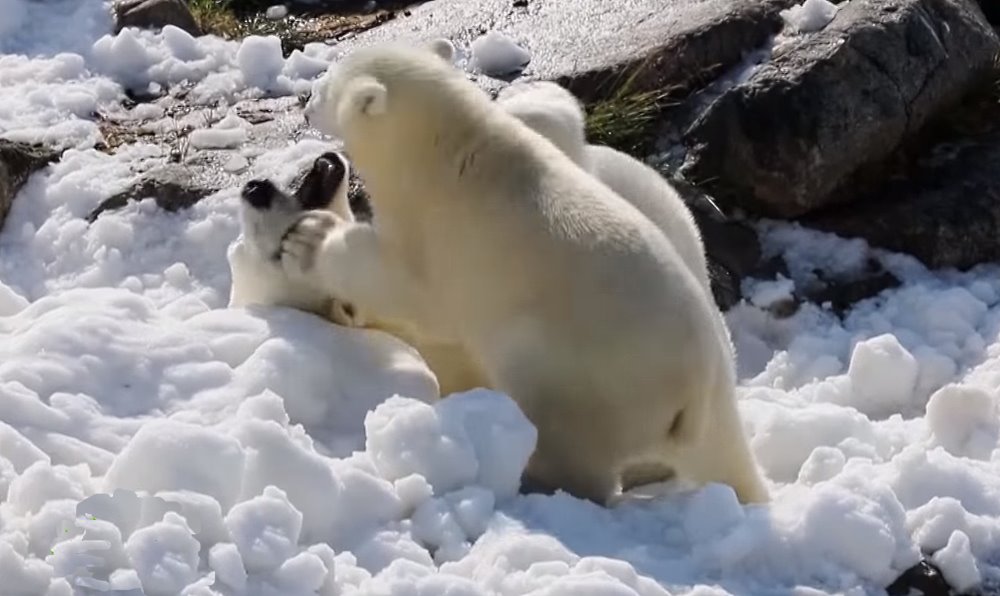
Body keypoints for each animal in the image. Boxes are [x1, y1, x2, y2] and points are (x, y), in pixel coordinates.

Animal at [274, 40, 772, 508]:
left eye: (331, 79)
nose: (306, 100)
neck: (448, 147)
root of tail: (693, 395)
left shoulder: (444, 235)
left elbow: (407, 288)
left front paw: (310, 237)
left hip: (578, 374)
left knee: (559, 428)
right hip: (714, 386)